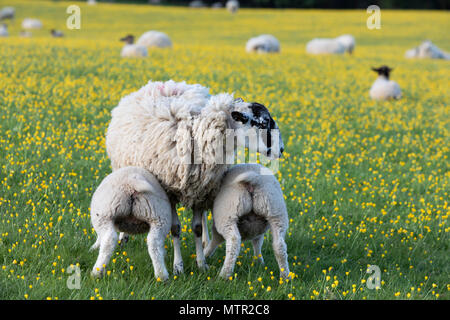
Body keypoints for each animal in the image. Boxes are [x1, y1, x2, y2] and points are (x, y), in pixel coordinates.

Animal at [104, 80, 284, 272]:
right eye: (264, 122)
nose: (281, 150)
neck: (196, 135)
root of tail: (164, 83)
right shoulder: (169, 192)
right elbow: (175, 229)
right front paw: (178, 266)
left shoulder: (200, 189)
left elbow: (197, 228)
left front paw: (201, 263)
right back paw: (123, 237)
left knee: (204, 218)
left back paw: (205, 241)